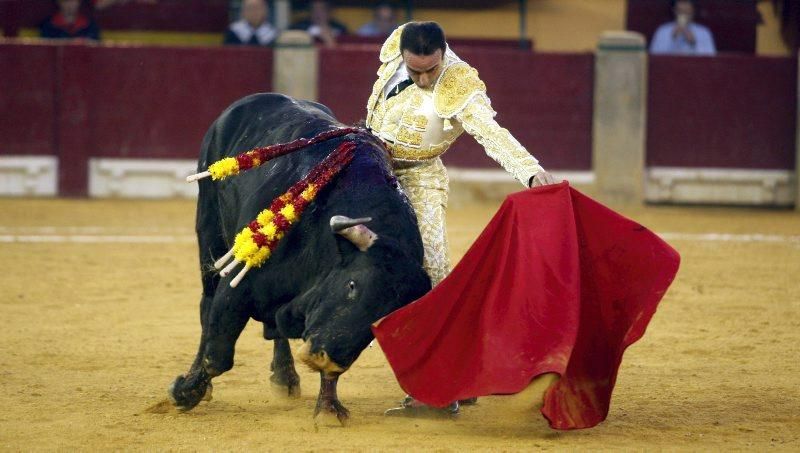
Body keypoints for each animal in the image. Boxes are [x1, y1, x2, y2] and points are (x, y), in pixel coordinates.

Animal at [166, 93, 432, 422]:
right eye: (352, 285)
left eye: (381, 319)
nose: (325, 359)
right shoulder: (239, 286)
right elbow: (218, 353)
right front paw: (185, 392)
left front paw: (328, 407)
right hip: (210, 232)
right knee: (206, 305)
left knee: (273, 330)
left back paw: (285, 376)